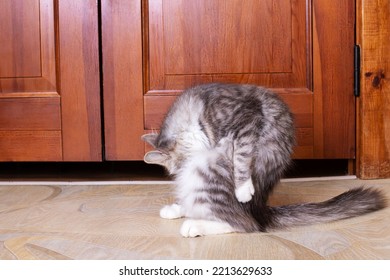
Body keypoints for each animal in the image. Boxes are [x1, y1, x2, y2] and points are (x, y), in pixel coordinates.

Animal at [142, 82, 386, 236]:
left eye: (179, 166)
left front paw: (242, 187)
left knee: (245, 223)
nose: (182, 173)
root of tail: (260, 208)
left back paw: (195, 226)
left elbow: (241, 153)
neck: (196, 123)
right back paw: (176, 210)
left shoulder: (246, 119)